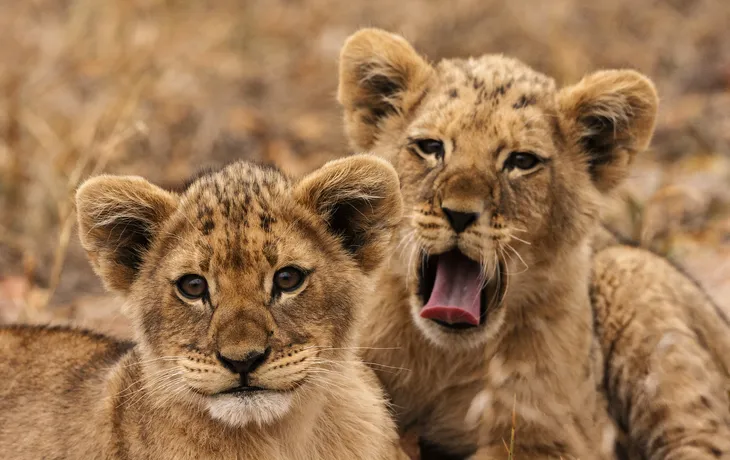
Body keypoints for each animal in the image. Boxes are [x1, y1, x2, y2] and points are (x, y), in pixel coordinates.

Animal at [337, 29, 730, 459]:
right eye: (430, 147)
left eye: (521, 161)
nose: (459, 214)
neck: (443, 359)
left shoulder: (564, 436)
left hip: (632, 276)